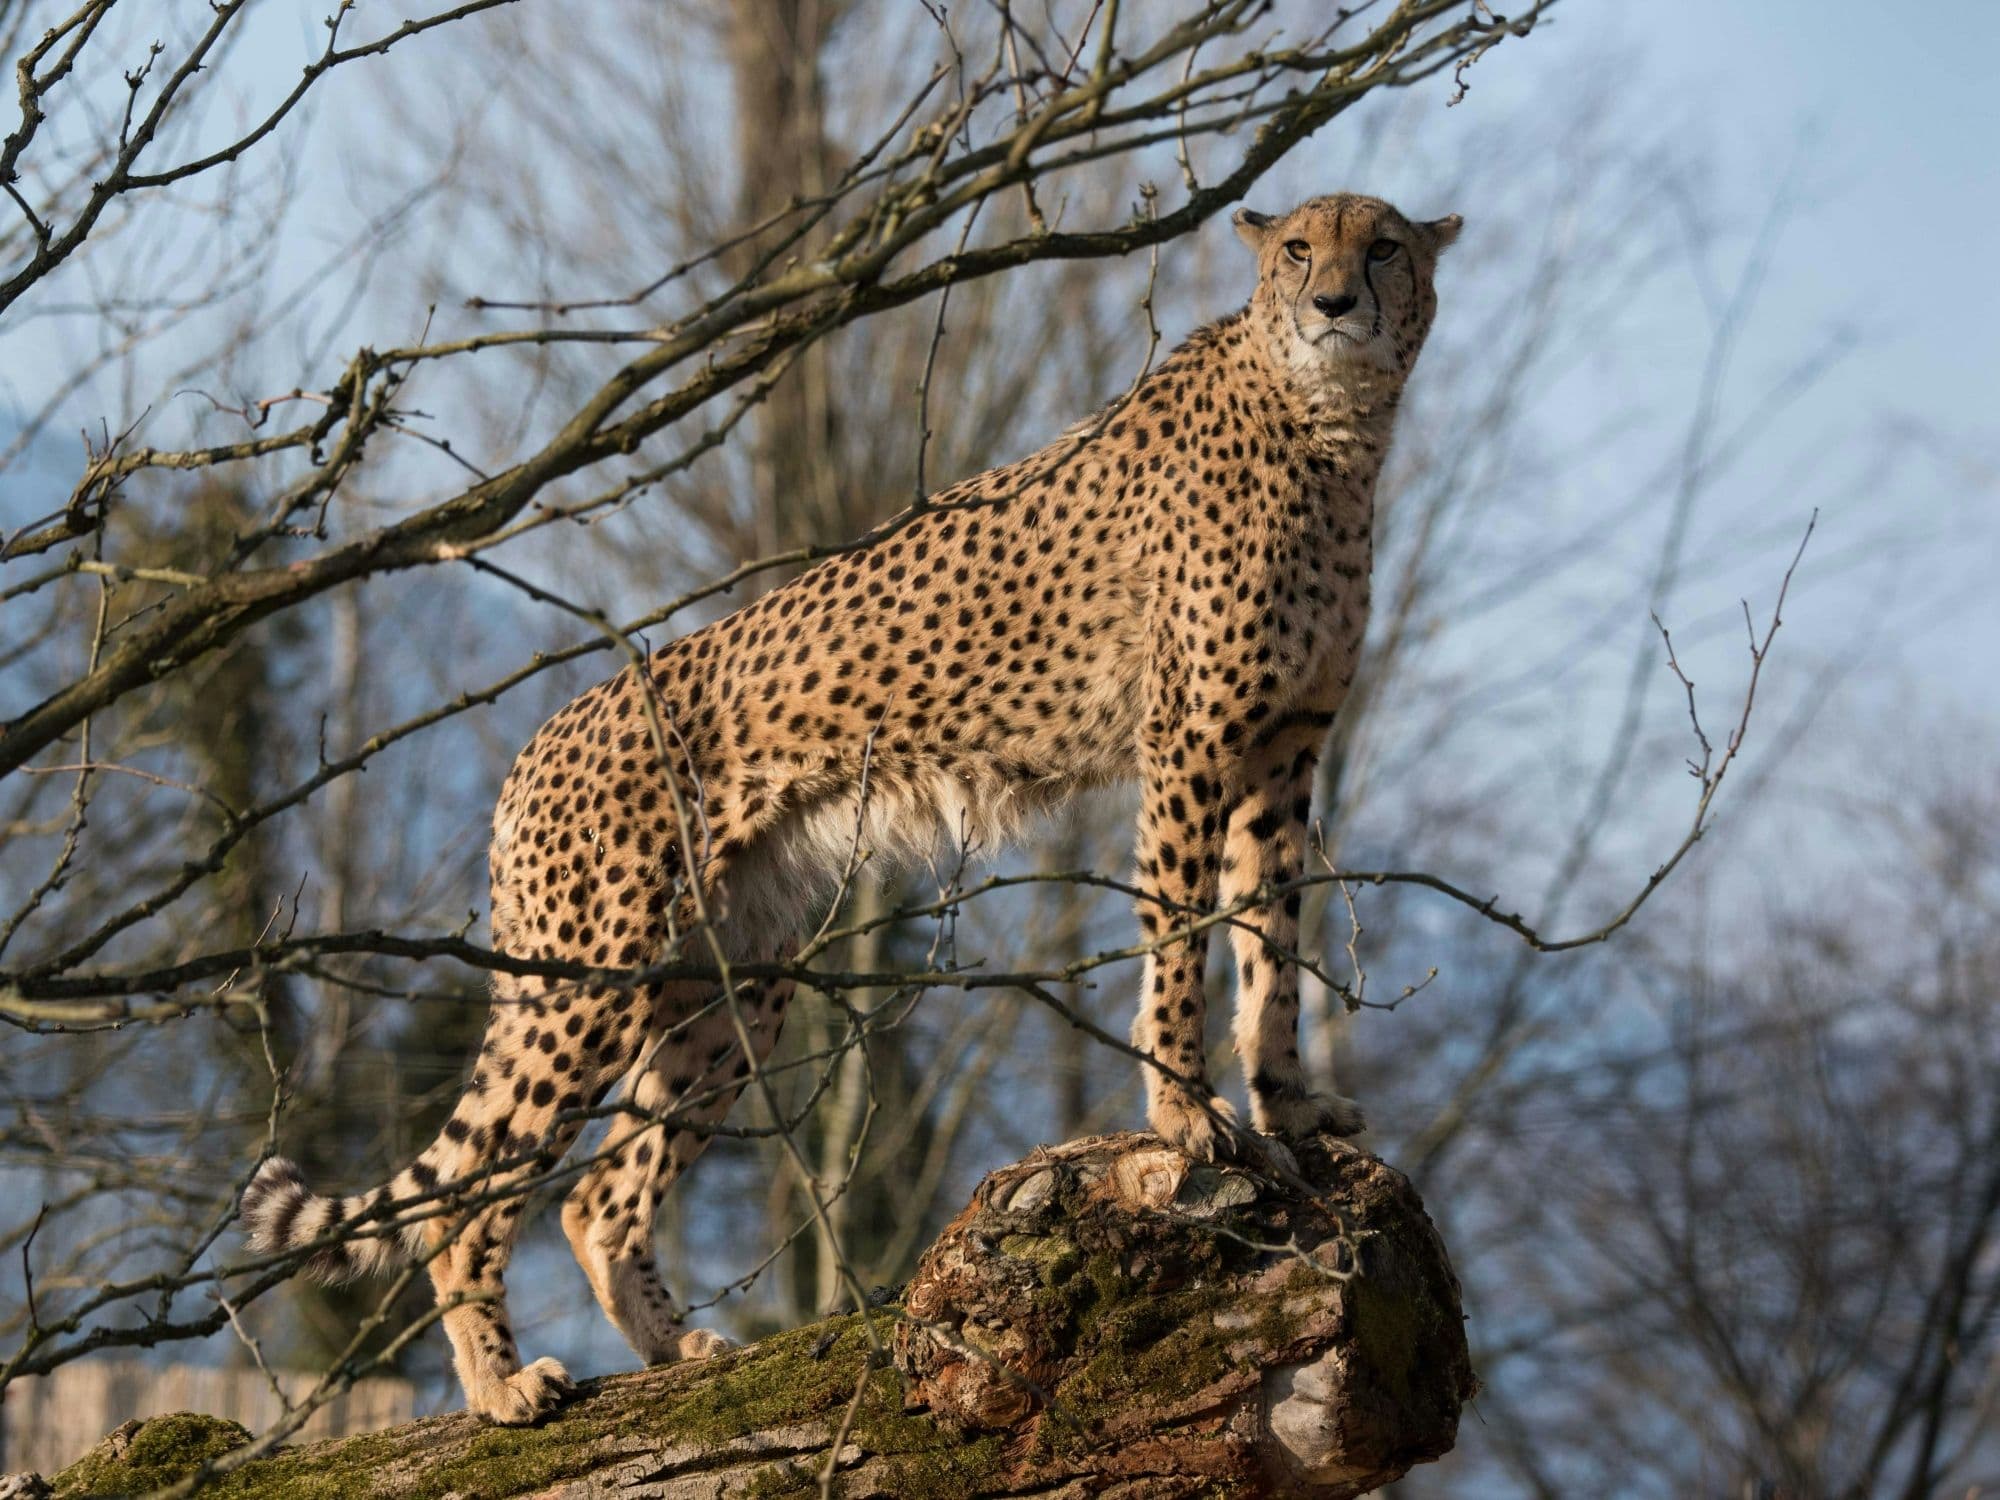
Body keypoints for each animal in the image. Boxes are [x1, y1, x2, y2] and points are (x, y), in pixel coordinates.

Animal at [242, 192, 1461, 1424]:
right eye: (1297, 250)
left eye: (1383, 249)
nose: (1333, 304)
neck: (1329, 427)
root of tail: (540, 740)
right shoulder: (1192, 744)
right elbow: (1184, 940)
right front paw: (1184, 1115)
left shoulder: (1284, 750)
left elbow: (1273, 945)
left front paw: (1289, 1109)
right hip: (592, 975)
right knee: (468, 1202)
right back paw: (500, 1386)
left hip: (732, 982)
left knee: (600, 1193)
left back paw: (674, 1349)